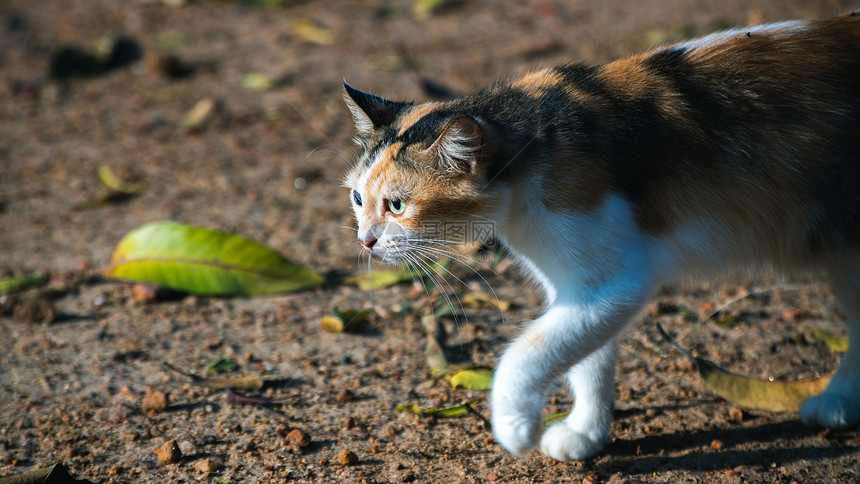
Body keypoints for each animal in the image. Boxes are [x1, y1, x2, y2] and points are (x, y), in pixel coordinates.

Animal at [342, 10, 860, 458]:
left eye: (397, 205)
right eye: (358, 198)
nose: (365, 240)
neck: (536, 148)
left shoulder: (620, 280)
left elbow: (529, 352)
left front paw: (515, 424)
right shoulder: (580, 287)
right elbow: (586, 359)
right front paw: (586, 433)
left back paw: (836, 402)